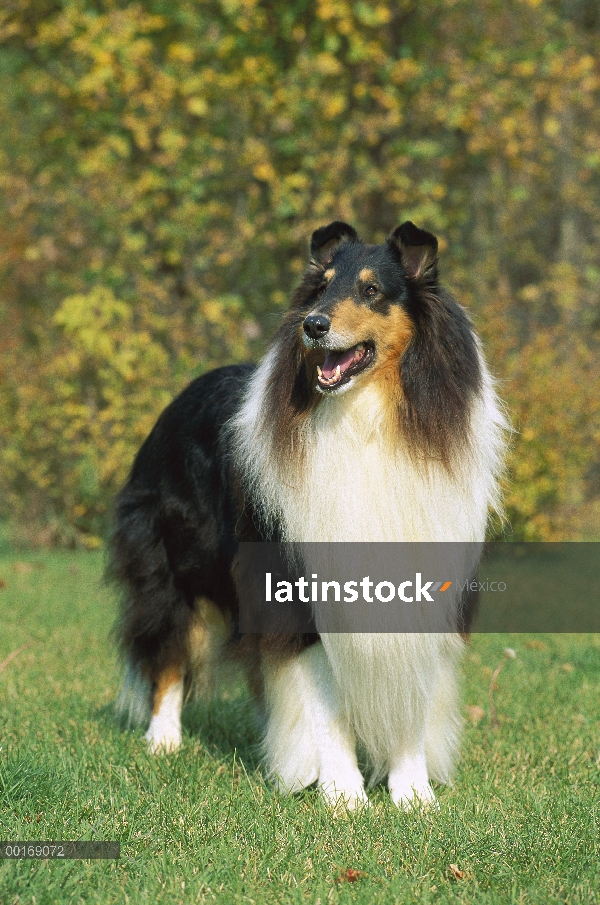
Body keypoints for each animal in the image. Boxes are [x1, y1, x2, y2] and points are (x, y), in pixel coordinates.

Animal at [111, 222, 506, 808]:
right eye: (320, 288)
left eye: (371, 290)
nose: (313, 326)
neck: (368, 422)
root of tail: (183, 391)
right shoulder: (300, 588)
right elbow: (327, 704)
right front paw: (343, 795)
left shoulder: (426, 594)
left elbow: (409, 703)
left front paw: (413, 796)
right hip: (174, 563)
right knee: (168, 648)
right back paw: (164, 739)